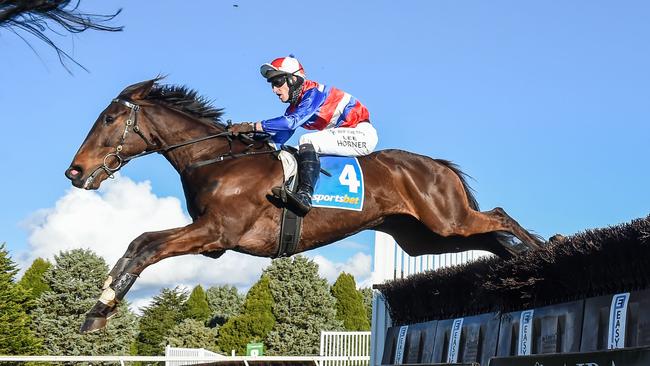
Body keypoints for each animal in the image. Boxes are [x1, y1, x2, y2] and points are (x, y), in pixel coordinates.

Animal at [64, 78, 540, 334]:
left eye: (109, 119)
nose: (74, 171)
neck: (216, 159)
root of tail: (437, 165)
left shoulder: (216, 233)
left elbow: (148, 247)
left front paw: (100, 309)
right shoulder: (209, 236)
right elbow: (139, 241)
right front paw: (99, 306)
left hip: (446, 220)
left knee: (500, 216)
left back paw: (541, 249)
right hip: (424, 238)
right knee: (492, 239)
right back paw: (519, 265)